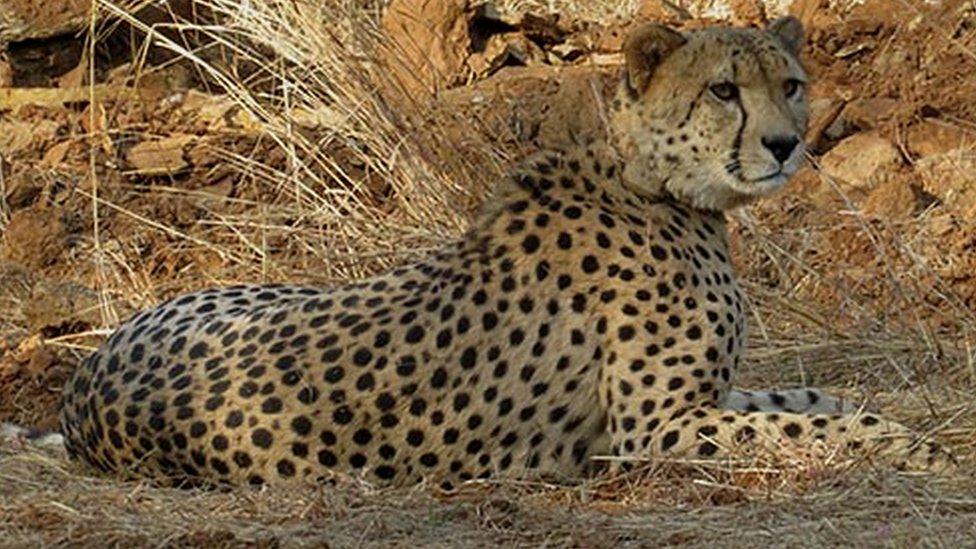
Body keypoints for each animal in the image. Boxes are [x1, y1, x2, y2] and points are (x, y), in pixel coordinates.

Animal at [57, 18, 948, 488]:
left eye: (790, 82)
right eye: (723, 90)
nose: (786, 144)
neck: (656, 183)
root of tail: (81, 388)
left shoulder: (706, 398)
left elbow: (812, 399)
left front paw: (902, 424)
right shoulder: (652, 427)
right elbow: (809, 426)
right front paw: (913, 448)